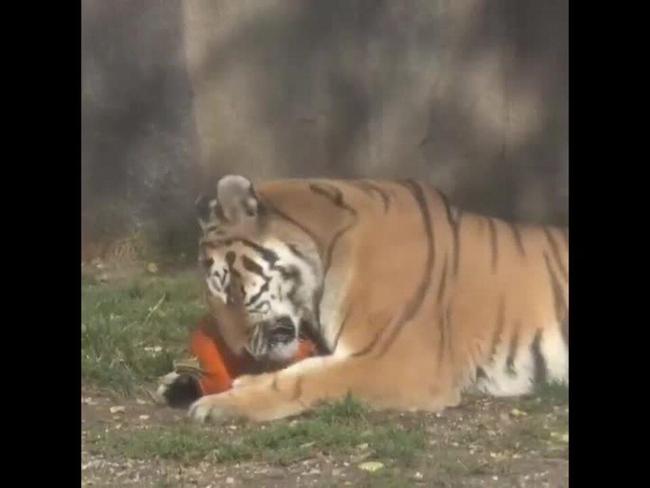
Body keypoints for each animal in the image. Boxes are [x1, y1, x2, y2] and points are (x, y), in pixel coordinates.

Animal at [163, 175, 568, 424]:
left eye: (230, 288)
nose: (240, 353)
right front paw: (181, 382)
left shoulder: (396, 360)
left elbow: (303, 379)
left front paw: (220, 402)